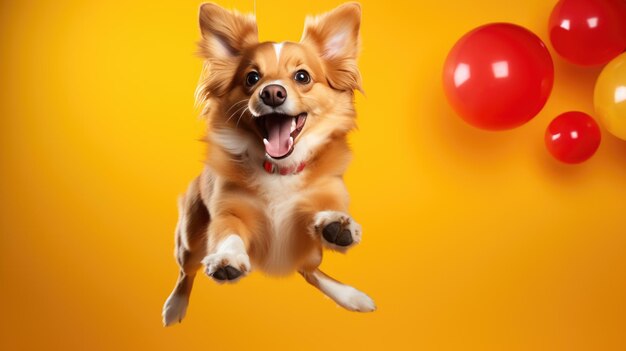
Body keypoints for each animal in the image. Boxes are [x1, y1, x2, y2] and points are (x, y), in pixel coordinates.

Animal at [163, 2, 372, 328]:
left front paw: (337, 225)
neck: (279, 169)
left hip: (310, 255)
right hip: (190, 240)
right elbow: (229, 233)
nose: (272, 92)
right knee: (187, 271)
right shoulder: (228, 212)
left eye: (302, 77)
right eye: (252, 78)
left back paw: (350, 295)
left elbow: (325, 211)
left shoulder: (320, 202)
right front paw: (227, 259)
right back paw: (175, 306)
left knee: (309, 270)